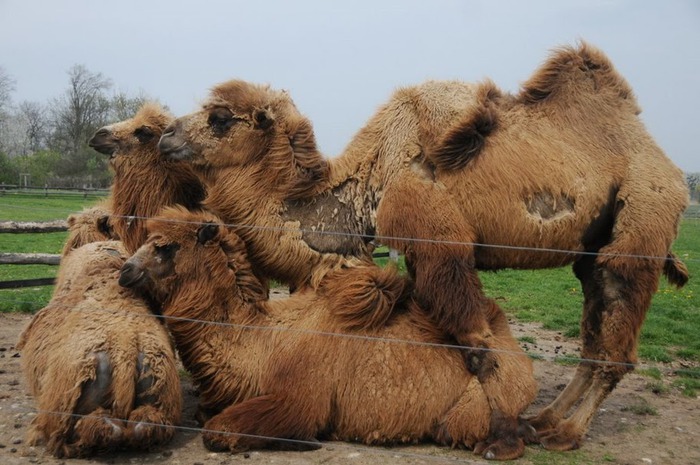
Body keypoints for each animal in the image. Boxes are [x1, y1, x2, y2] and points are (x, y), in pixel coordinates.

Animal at [119, 208, 536, 460]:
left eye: (166, 247)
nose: (125, 271)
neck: (263, 343)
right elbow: (206, 415)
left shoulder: (301, 397)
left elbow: (218, 431)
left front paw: (302, 441)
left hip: (476, 404)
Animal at [157, 43, 688, 450]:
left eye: (220, 118)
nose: (164, 135)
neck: (369, 185)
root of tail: (669, 169)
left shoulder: (438, 240)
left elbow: (477, 341)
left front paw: (497, 435)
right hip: (590, 253)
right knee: (594, 335)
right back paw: (546, 419)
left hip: (639, 231)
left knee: (614, 344)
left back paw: (567, 434)